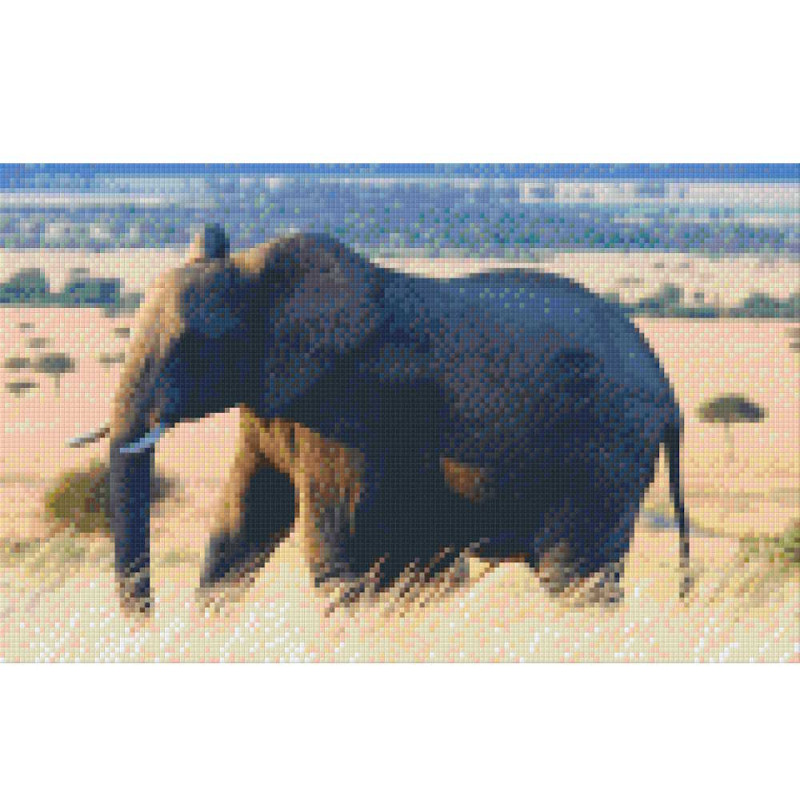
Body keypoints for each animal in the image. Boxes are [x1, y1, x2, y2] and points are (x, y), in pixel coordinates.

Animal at [69, 224, 691, 612]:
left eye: (196, 343)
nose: (145, 627)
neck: (257, 271)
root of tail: (668, 392)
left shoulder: (352, 403)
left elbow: (335, 538)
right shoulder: (273, 398)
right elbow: (244, 523)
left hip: (606, 448)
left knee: (575, 577)